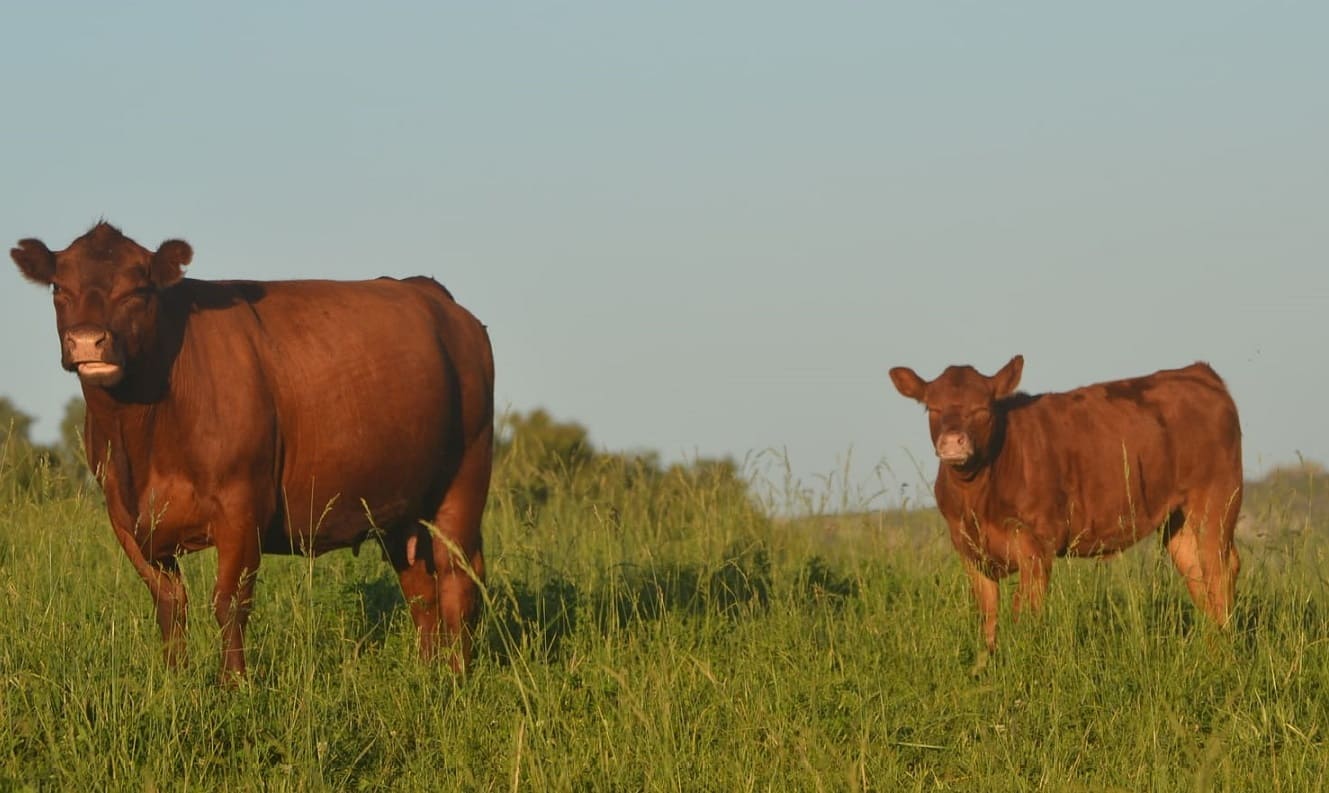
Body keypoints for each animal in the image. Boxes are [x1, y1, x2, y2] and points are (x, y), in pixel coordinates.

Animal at [11, 222, 494, 680]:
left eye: (138, 290)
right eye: (59, 288)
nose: (87, 341)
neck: (142, 442)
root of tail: (430, 293)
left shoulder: (241, 507)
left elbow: (229, 602)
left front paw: (233, 685)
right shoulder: (126, 519)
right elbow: (169, 604)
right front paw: (174, 679)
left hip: (464, 478)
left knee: (457, 578)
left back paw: (456, 675)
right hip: (396, 503)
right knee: (420, 587)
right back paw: (427, 672)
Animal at [889, 355, 1242, 661]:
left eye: (982, 408)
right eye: (932, 408)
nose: (952, 442)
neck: (978, 498)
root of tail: (1196, 372)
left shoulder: (1035, 547)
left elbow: (1024, 615)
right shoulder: (970, 551)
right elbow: (988, 618)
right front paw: (986, 667)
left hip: (1216, 502)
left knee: (1220, 572)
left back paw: (1224, 654)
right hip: (1178, 520)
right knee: (1197, 574)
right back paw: (1211, 649)